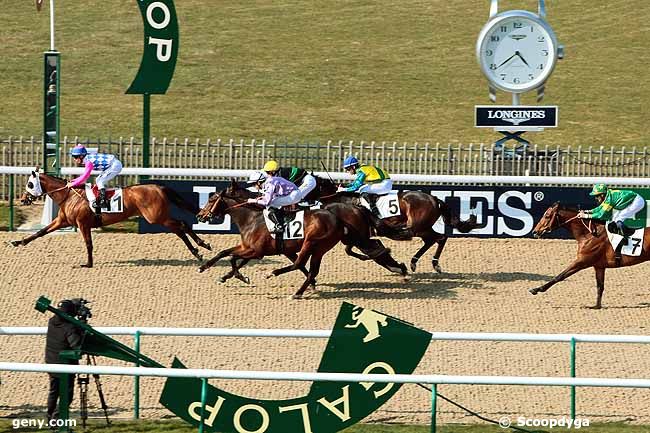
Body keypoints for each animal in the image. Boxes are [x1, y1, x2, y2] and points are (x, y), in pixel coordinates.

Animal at [8, 170, 211, 266]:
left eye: (29, 184)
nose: (23, 199)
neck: (69, 195)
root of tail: (158, 187)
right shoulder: (62, 221)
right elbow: (40, 232)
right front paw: (18, 242)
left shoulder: (83, 224)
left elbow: (88, 244)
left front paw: (88, 264)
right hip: (159, 217)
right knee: (180, 227)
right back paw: (198, 249)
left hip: (156, 217)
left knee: (181, 225)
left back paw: (201, 246)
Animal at [197, 179, 346, 296]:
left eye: (211, 199)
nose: (200, 216)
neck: (251, 218)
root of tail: (337, 220)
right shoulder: (246, 246)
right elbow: (224, 253)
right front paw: (204, 268)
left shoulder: (257, 252)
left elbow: (232, 258)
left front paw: (241, 277)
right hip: (319, 250)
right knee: (310, 270)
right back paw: (299, 291)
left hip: (311, 242)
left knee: (299, 263)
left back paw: (275, 276)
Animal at [312, 176, 478, 272]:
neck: (344, 200)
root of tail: (434, 199)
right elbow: (353, 250)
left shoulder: (360, 233)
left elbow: (354, 250)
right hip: (422, 228)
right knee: (434, 239)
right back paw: (415, 262)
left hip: (418, 227)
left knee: (439, 238)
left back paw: (433, 264)